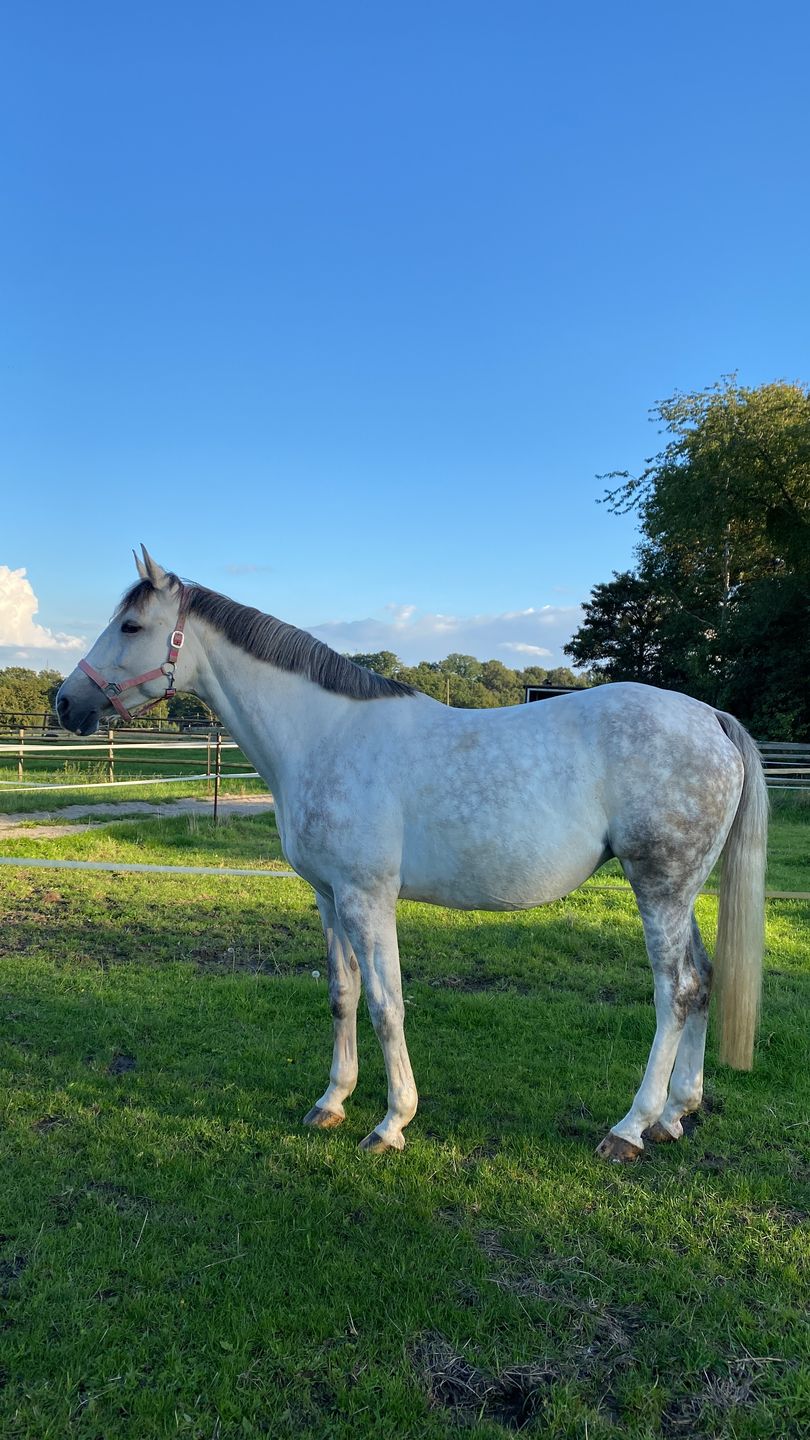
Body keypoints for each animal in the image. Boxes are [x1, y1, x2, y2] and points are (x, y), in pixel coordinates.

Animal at [56, 547, 768, 1161]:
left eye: (131, 625)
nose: (65, 702)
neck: (324, 733)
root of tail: (710, 718)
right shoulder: (329, 896)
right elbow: (342, 993)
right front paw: (331, 1102)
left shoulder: (367, 897)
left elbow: (385, 1002)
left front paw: (391, 1122)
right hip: (680, 893)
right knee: (703, 981)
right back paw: (676, 1114)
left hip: (659, 887)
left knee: (675, 992)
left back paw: (631, 1127)